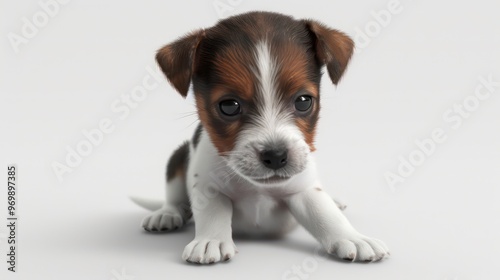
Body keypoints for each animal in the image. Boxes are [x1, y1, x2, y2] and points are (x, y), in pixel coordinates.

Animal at [134, 11, 390, 264]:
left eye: (303, 101)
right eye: (229, 106)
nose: (276, 156)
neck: (255, 187)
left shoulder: (303, 190)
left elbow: (326, 214)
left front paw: (354, 237)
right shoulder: (208, 187)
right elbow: (213, 212)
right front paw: (211, 241)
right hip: (177, 158)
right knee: (174, 196)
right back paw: (166, 214)